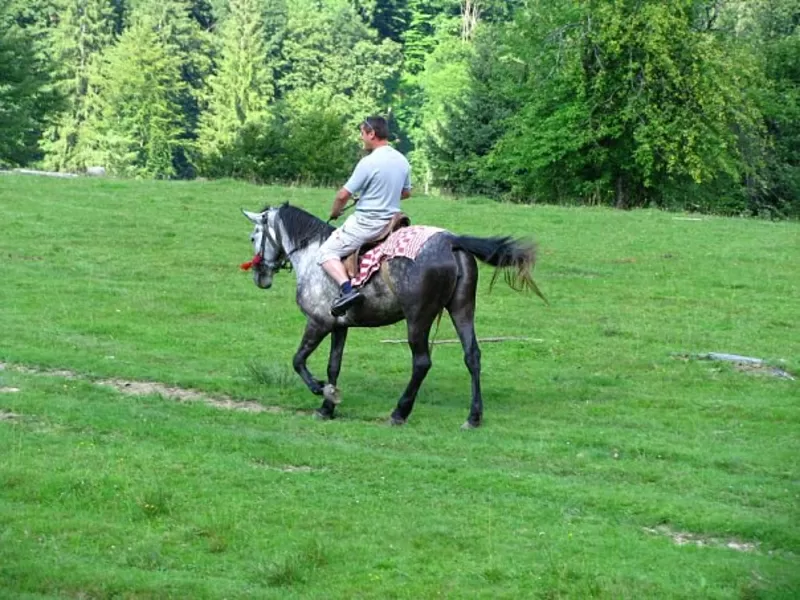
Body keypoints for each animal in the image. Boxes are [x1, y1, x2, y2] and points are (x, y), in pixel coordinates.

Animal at [242, 204, 544, 428]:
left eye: (254, 237)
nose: (259, 276)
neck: (313, 254)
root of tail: (452, 241)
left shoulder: (319, 322)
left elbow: (299, 360)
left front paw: (321, 390)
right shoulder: (340, 326)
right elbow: (333, 366)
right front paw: (327, 408)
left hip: (418, 319)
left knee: (422, 363)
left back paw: (400, 412)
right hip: (462, 309)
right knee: (473, 356)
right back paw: (474, 417)